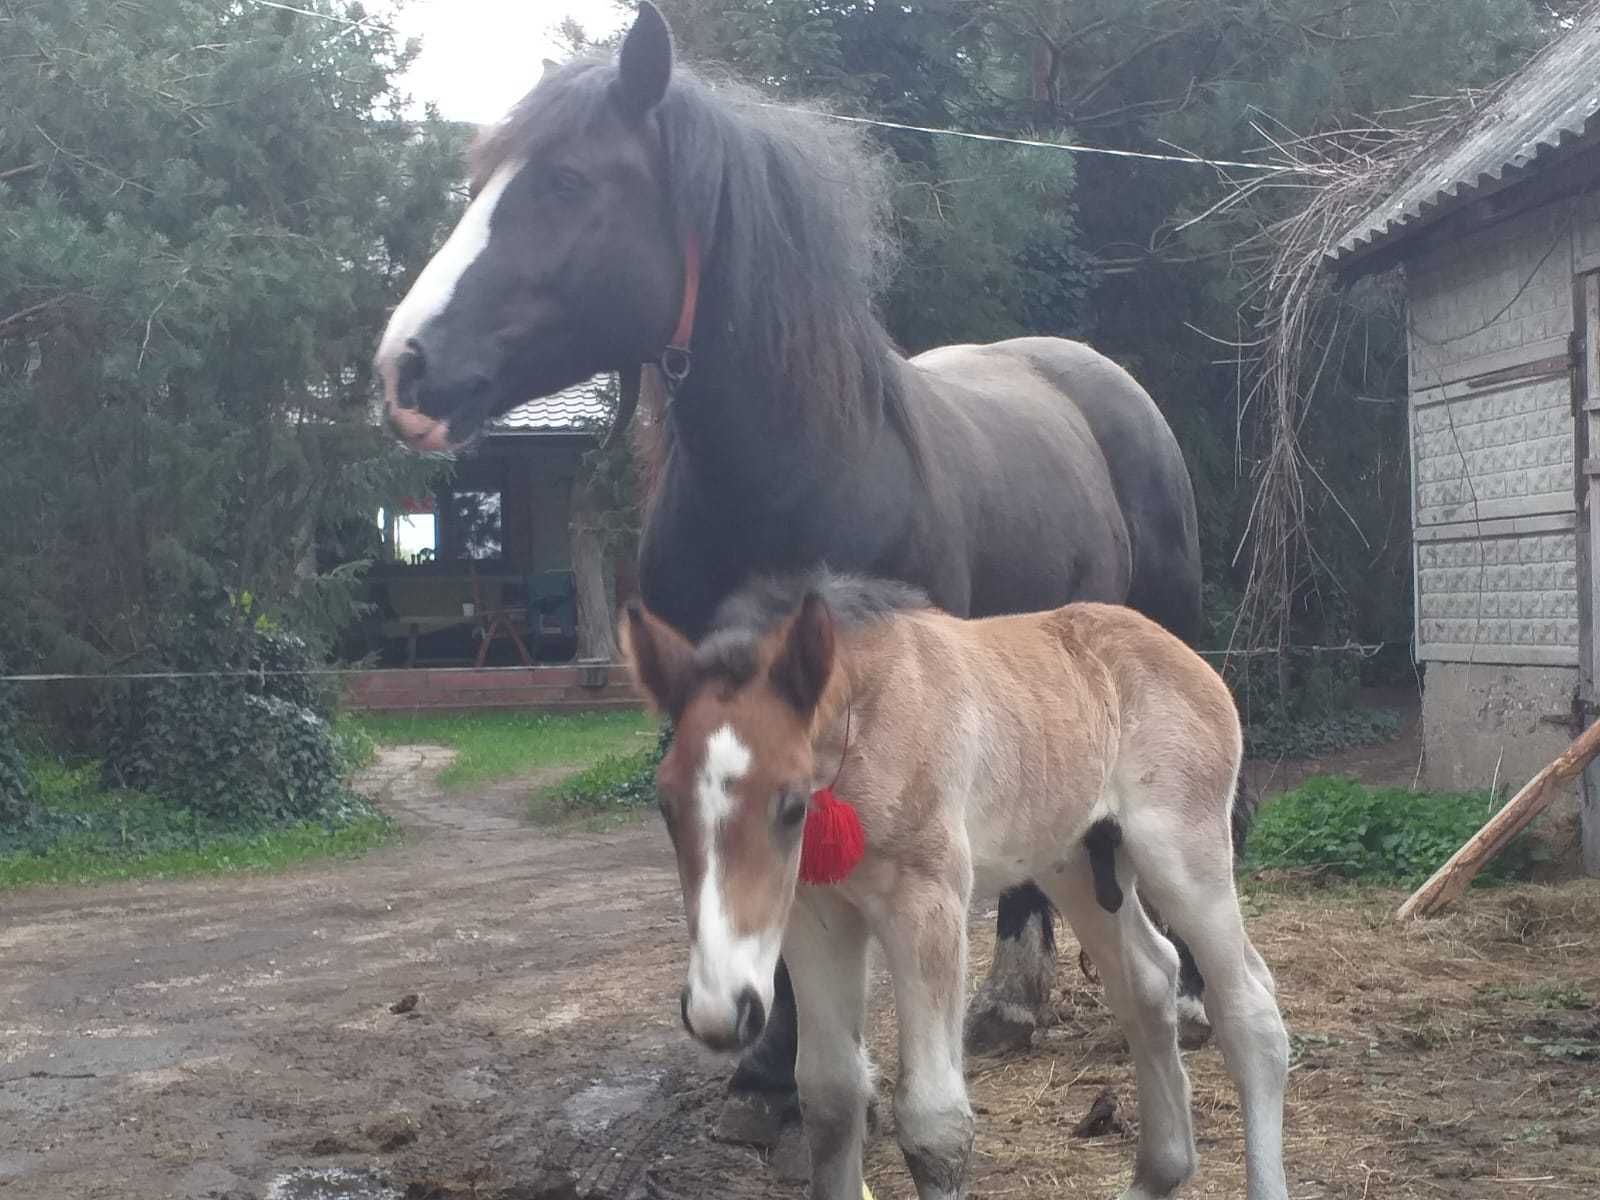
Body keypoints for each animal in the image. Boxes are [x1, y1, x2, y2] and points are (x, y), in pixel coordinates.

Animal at [368, 0, 1241, 1145]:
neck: (797, 471)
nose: (404, 367)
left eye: (565, 181)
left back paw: (1162, 1000)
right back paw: (1011, 1002)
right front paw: (767, 1069)